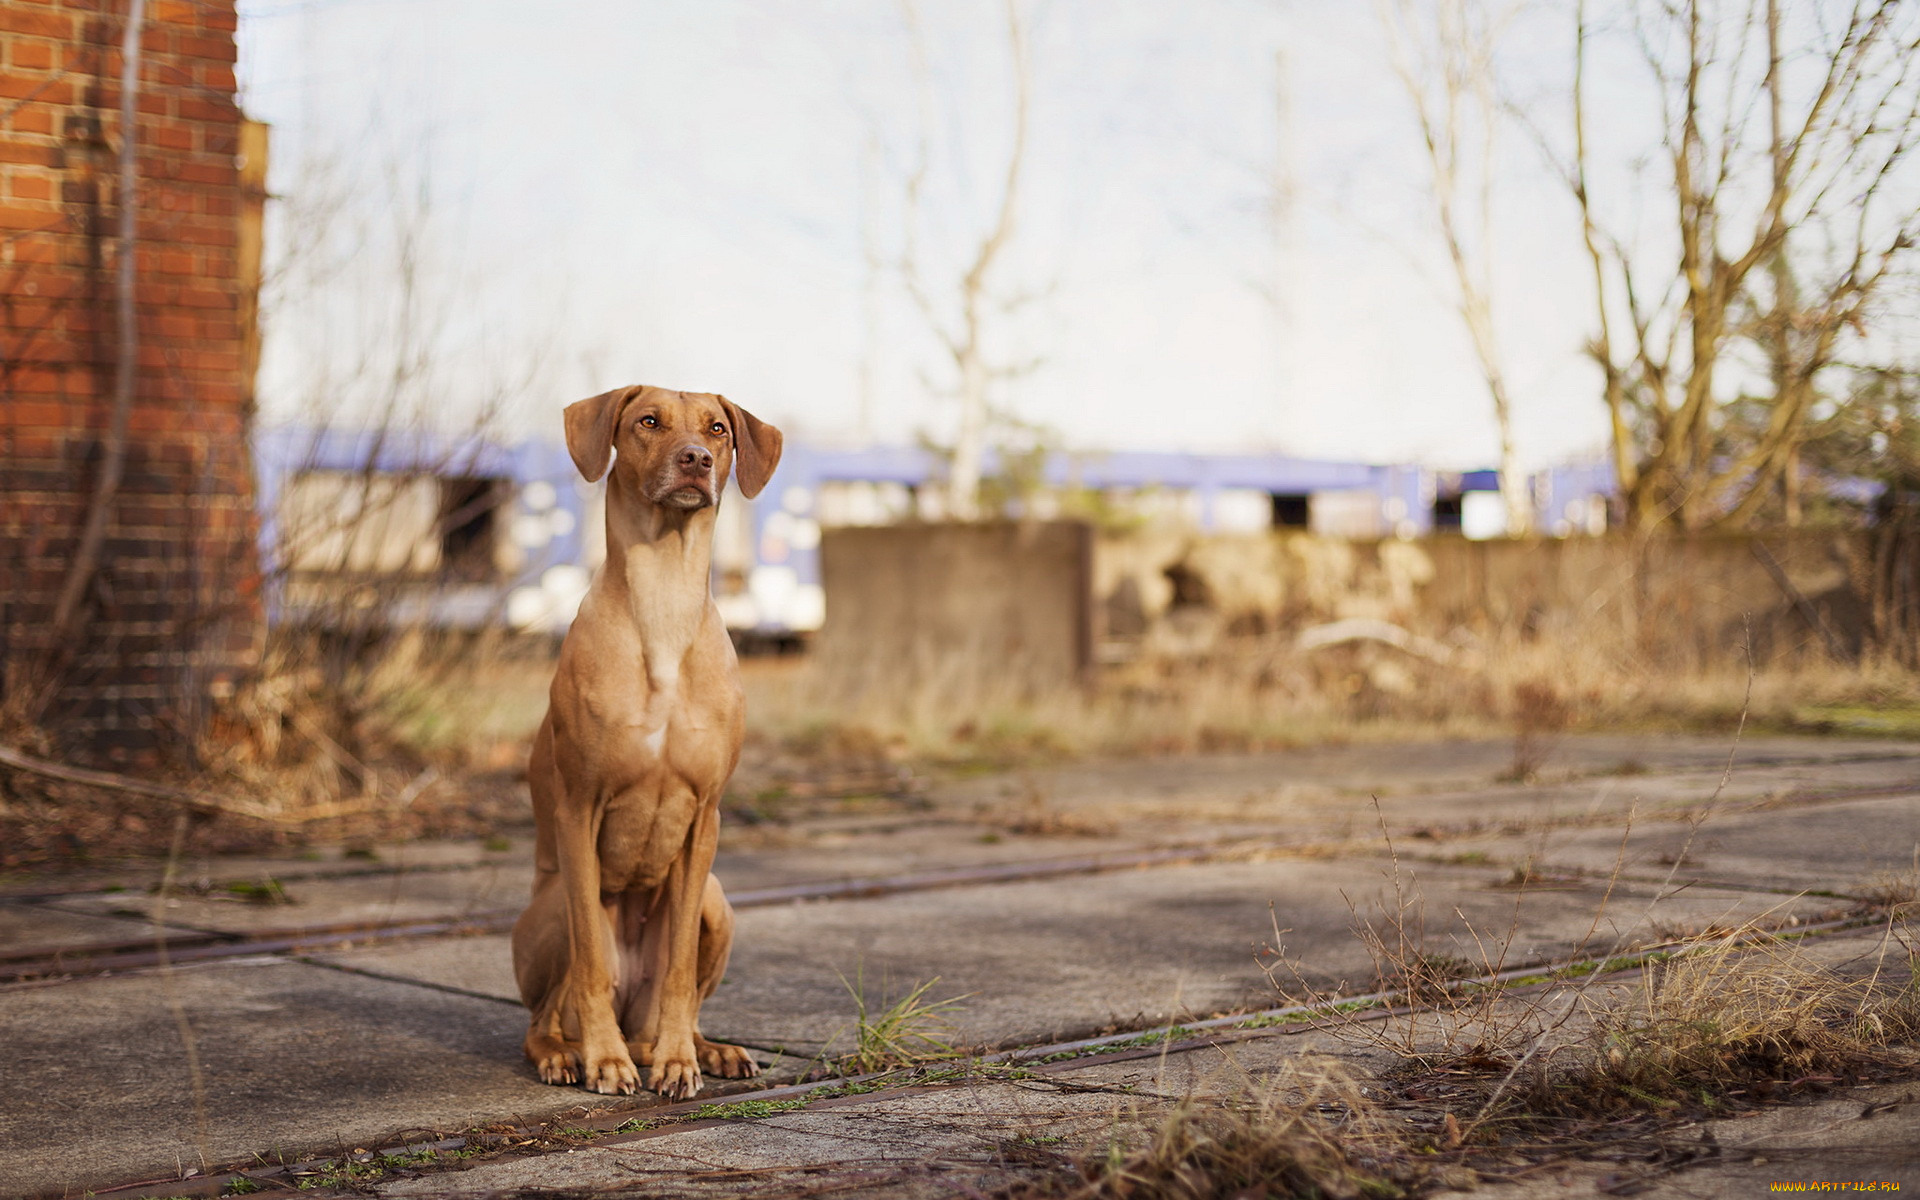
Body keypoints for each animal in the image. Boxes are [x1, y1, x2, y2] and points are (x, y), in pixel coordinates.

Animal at [514, 384, 783, 1098]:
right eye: (648, 421)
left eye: (718, 429)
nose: (695, 459)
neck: (664, 603)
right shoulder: (579, 809)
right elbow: (589, 962)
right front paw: (604, 1061)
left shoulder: (705, 818)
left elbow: (680, 970)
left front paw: (679, 1061)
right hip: (553, 905)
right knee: (547, 1014)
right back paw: (571, 1053)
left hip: (717, 899)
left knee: (674, 995)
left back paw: (700, 1047)